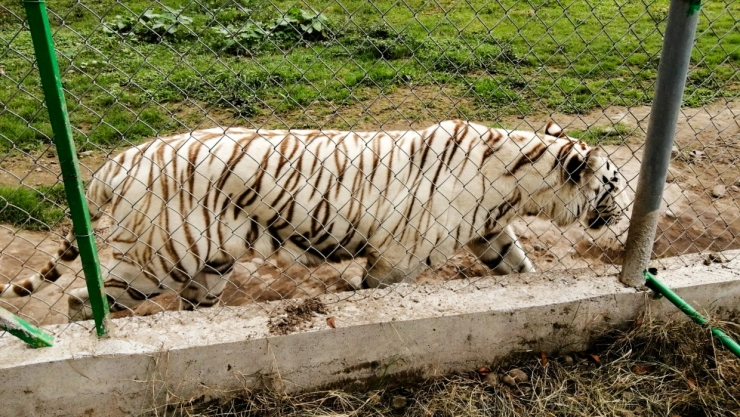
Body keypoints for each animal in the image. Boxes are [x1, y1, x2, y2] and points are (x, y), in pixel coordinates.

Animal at [0, 120, 628, 320]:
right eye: (616, 183)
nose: (625, 212)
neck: (517, 183)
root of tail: (119, 159)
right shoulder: (397, 259)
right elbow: (376, 293)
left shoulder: (490, 231)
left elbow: (518, 269)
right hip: (159, 257)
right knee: (83, 300)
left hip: (210, 263)